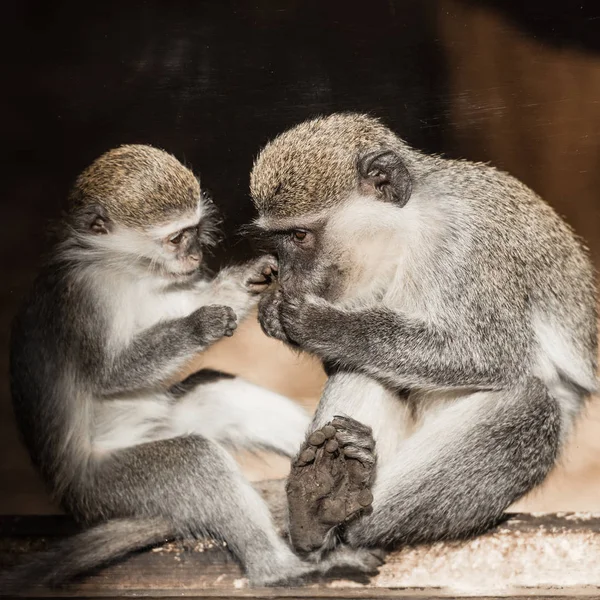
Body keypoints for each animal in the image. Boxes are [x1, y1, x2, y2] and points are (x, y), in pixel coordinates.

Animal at [7, 143, 382, 588]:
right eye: (176, 238)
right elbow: (108, 375)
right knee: (194, 457)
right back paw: (281, 566)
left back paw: (329, 475)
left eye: (194, 231)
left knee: (221, 393)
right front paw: (200, 326)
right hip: (108, 488)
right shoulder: (82, 298)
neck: (125, 270)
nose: (195, 254)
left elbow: (185, 301)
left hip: (168, 421)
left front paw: (249, 278)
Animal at [248, 113, 596, 556]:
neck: (410, 231)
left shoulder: (468, 245)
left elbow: (495, 355)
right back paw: (317, 502)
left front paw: (319, 324)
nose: (289, 277)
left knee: (532, 404)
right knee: (363, 369)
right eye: (278, 240)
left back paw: (341, 515)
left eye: (299, 236)